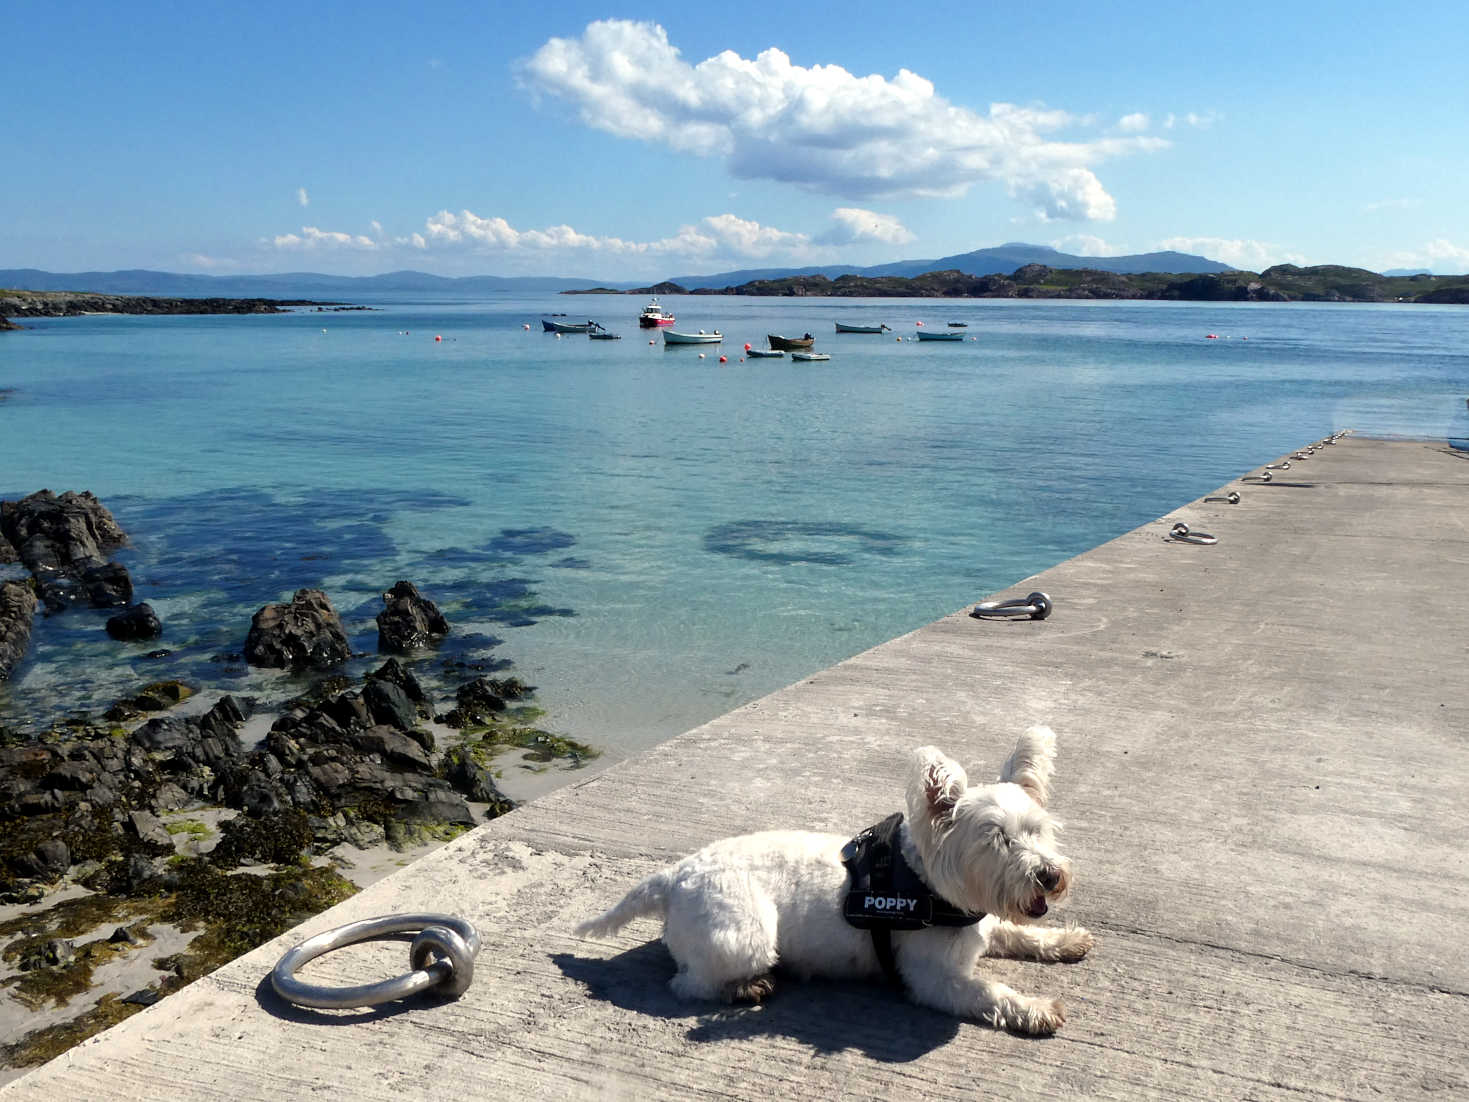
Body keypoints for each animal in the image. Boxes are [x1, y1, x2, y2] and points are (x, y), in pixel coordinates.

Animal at [572, 728, 1092, 1040]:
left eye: (1037, 830)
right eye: (997, 838)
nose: (1050, 877)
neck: (928, 883)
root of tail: (676, 875)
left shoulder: (984, 925)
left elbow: (1021, 933)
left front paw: (1065, 941)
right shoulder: (934, 980)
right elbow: (990, 993)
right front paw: (1037, 1009)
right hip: (748, 936)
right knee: (687, 983)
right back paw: (745, 988)